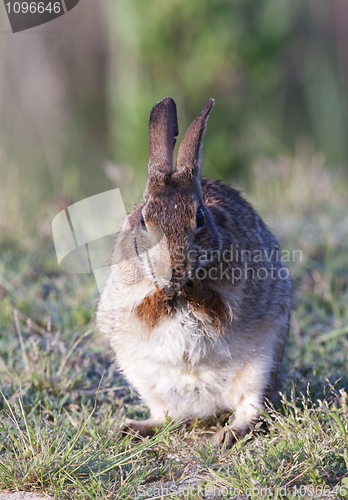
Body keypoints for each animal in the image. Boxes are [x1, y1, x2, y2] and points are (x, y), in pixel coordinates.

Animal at [96, 97, 292, 450]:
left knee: (251, 411)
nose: (175, 268)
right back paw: (132, 429)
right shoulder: (128, 299)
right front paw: (166, 292)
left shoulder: (233, 298)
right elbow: (147, 310)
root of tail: (206, 405)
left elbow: (218, 309)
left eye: (199, 217)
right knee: (169, 418)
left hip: (262, 364)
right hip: (142, 375)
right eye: (143, 219)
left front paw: (188, 289)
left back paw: (227, 435)